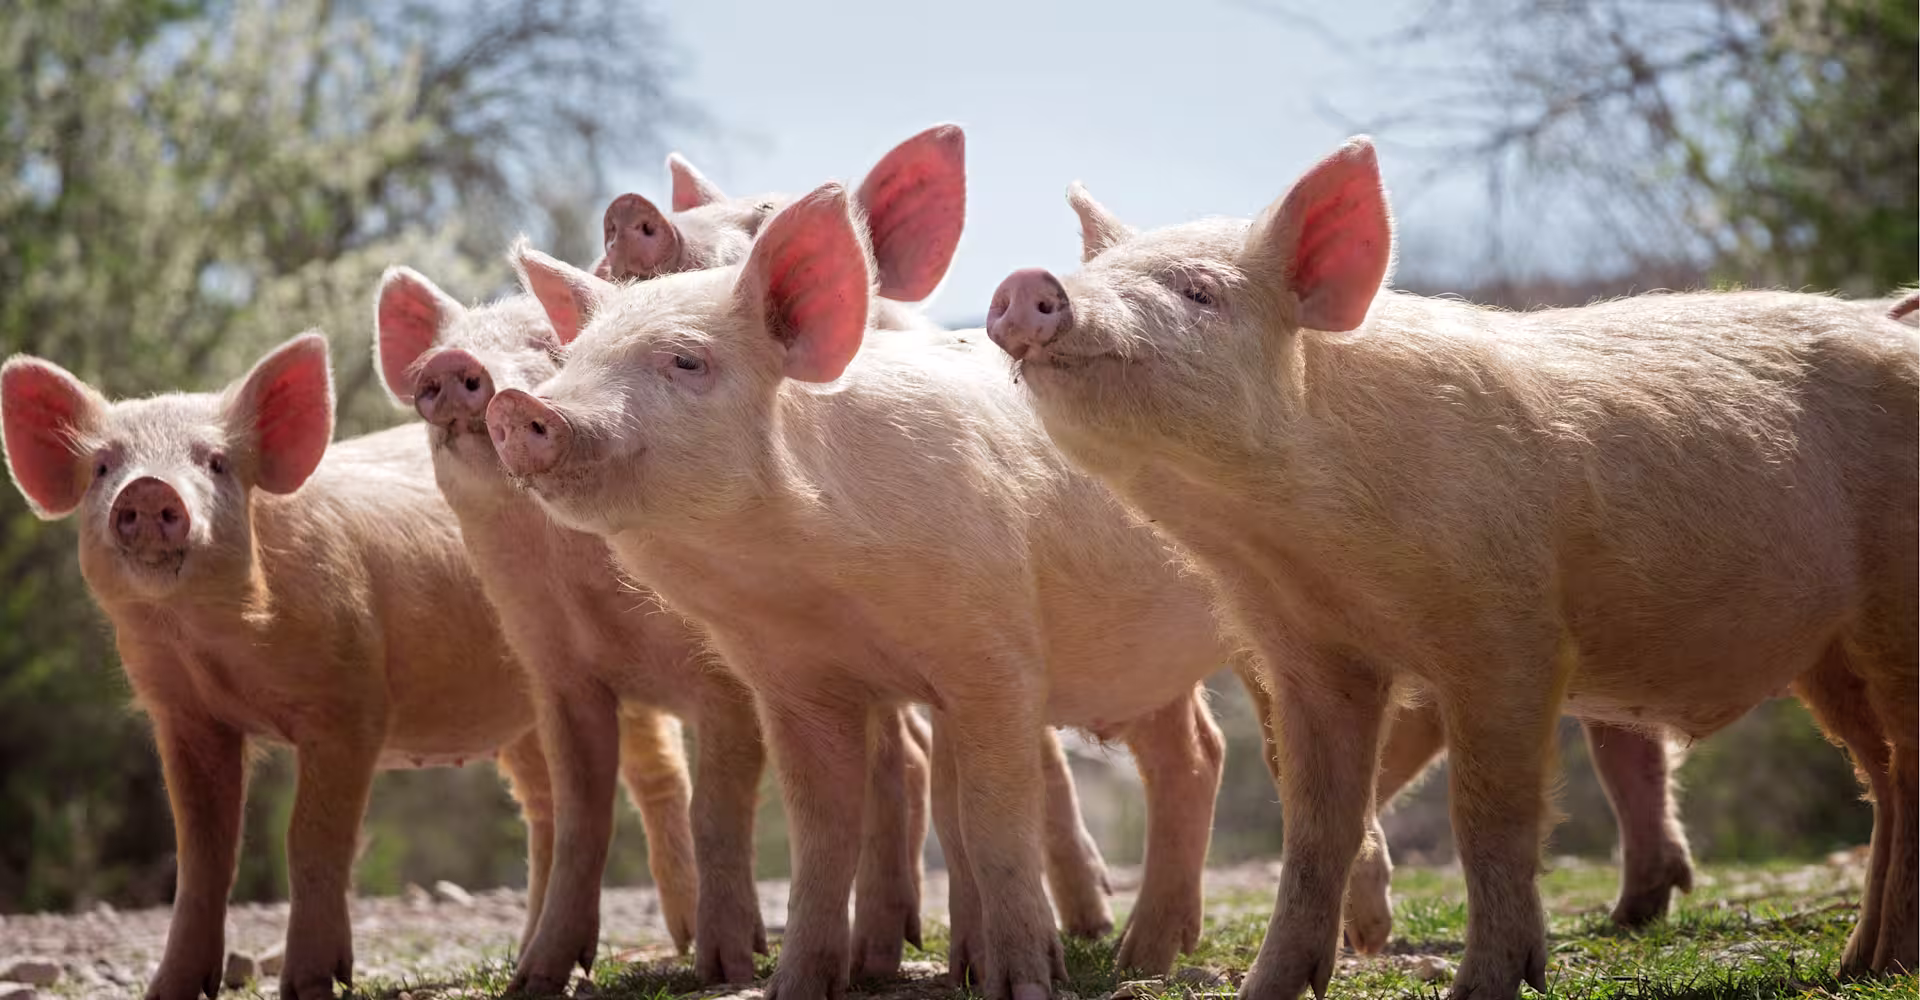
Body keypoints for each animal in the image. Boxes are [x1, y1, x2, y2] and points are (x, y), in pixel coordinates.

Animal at [0, 335, 699, 1000]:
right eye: (102, 467)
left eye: (215, 462)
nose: (148, 489)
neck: (212, 646)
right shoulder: (184, 716)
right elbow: (201, 855)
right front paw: (168, 991)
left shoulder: (350, 701)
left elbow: (311, 839)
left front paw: (312, 985)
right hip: (523, 711)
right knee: (545, 804)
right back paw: (529, 959)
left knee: (658, 776)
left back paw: (686, 941)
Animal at [483, 184, 1253, 1000]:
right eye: (571, 359)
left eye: (686, 360)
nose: (519, 407)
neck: (814, 586)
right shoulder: (795, 683)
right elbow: (822, 835)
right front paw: (794, 987)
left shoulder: (994, 657)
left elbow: (992, 823)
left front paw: (1022, 985)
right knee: (1194, 753)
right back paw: (1142, 959)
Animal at [984, 136, 1918, 999]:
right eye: (1094, 269)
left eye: (1199, 292)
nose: (1030, 283)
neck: (1292, 545)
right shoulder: (1313, 655)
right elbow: (1315, 827)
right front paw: (1266, 989)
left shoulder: (1509, 636)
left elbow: (1488, 818)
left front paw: (1482, 986)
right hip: (1828, 652)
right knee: (1882, 775)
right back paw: (1861, 963)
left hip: (1895, 605)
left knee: (1905, 765)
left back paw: (1883, 962)